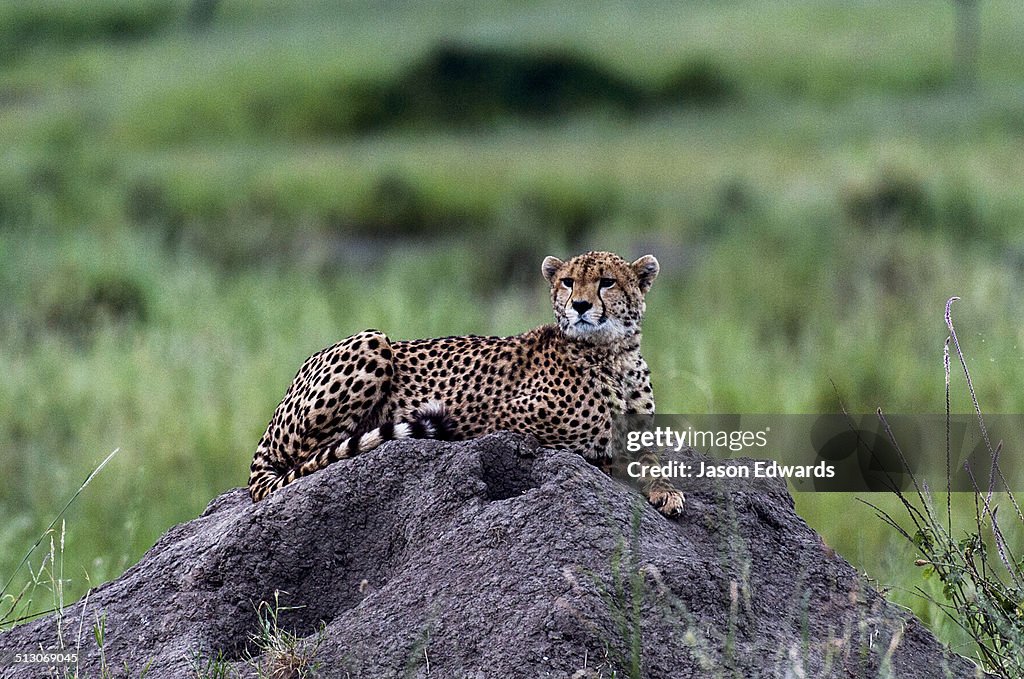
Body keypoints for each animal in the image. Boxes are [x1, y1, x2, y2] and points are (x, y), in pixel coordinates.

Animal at [247, 251, 684, 518]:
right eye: (568, 282)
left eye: (607, 282)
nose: (579, 305)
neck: (612, 354)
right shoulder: (502, 418)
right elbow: (597, 448)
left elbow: (653, 457)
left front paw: (665, 490)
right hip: (372, 341)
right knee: (311, 460)